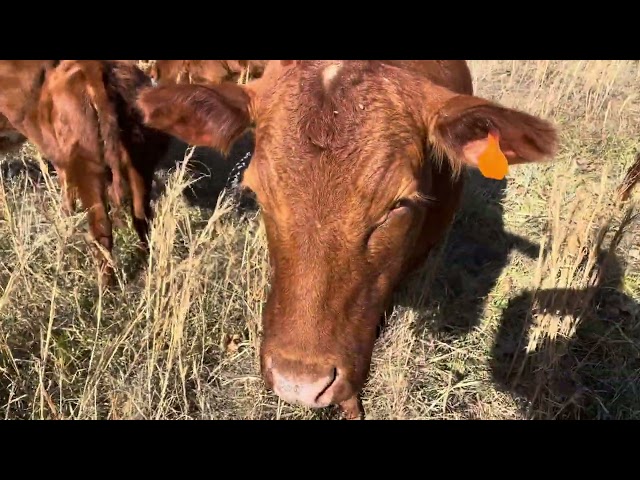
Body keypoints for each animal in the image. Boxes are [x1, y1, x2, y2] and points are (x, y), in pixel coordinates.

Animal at [0, 60, 172, 286]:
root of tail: (97, 69)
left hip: (89, 171)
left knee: (102, 227)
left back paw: (105, 285)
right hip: (139, 165)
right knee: (142, 216)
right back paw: (145, 261)